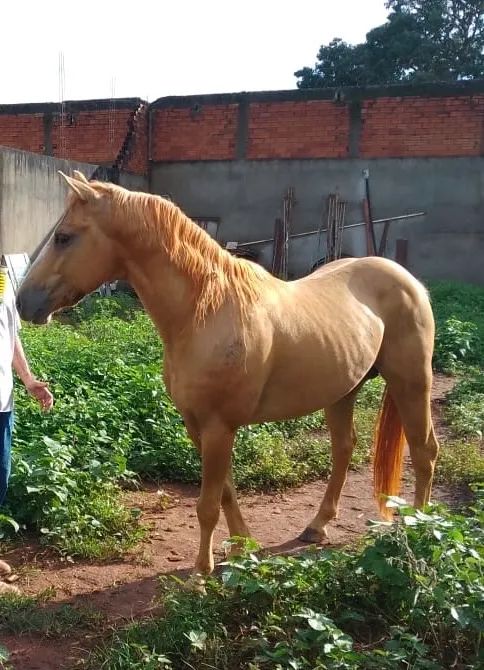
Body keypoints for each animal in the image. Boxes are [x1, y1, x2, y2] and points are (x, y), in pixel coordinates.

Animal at [16, 171, 439, 587]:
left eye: (64, 236)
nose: (22, 303)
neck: (204, 311)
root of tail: (408, 280)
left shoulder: (219, 427)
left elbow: (207, 505)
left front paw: (201, 575)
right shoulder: (197, 426)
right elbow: (225, 493)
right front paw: (242, 549)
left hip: (412, 382)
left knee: (424, 451)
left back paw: (419, 527)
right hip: (342, 391)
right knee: (344, 449)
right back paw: (317, 526)